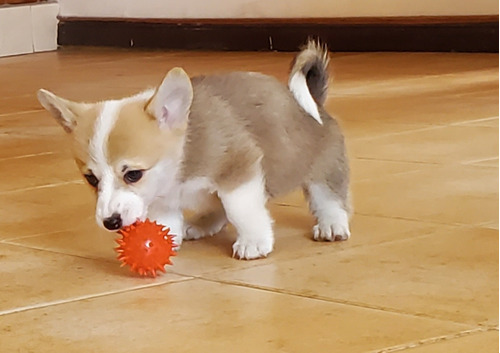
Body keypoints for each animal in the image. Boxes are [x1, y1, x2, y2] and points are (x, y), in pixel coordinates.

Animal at [37, 41, 350, 258]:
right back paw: (201, 225)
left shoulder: (238, 169)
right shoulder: (162, 198)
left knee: (329, 196)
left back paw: (332, 224)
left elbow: (241, 209)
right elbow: (167, 220)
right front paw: (164, 241)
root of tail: (315, 103)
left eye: (133, 174)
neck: (178, 166)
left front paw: (254, 241)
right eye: (91, 179)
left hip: (323, 168)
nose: (110, 222)